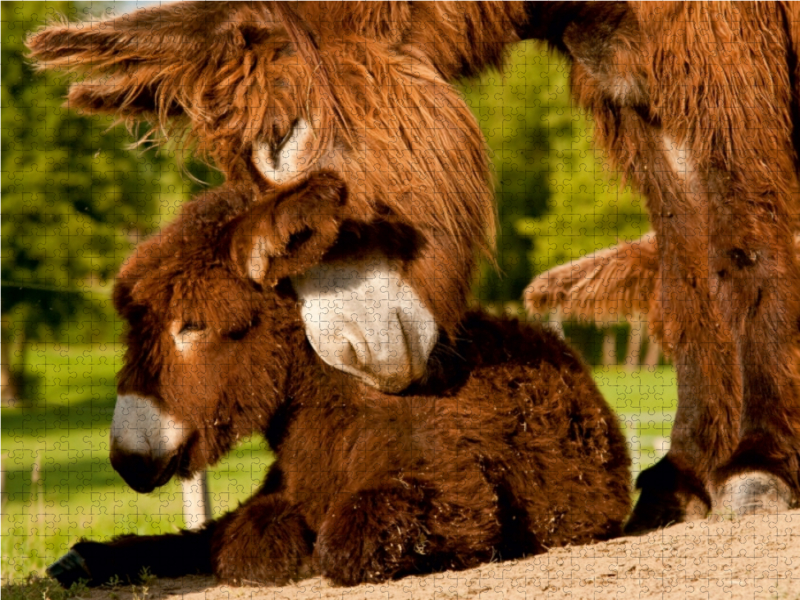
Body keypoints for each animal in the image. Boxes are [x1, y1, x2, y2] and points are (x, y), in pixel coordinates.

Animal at [50, 172, 632, 584]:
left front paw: (298, 553)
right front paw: (90, 557)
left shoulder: (461, 496)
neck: (328, 417)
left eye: (192, 325)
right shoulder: (283, 486)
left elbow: (337, 543)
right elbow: (222, 533)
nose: (126, 460)